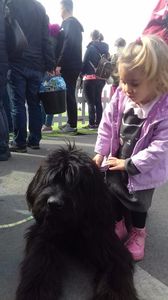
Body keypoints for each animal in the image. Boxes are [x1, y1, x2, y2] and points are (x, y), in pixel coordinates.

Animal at [15, 144, 139, 298]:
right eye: (50, 179)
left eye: (76, 183)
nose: (53, 203)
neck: (73, 224)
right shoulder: (43, 235)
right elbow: (39, 261)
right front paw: (36, 292)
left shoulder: (109, 246)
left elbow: (116, 274)